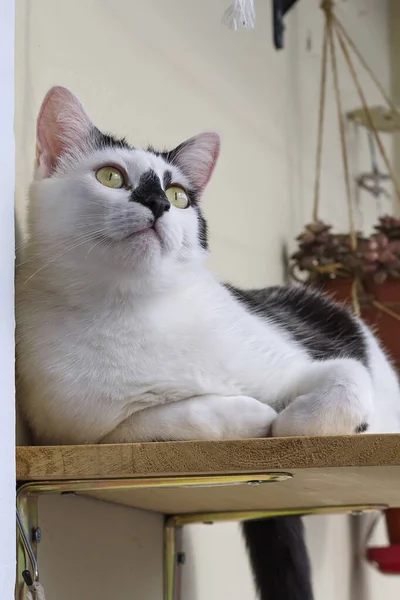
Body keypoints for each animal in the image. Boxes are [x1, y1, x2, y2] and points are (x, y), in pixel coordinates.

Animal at [17, 86, 400, 600]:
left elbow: (342, 383)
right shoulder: (80, 434)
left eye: (179, 195)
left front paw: (289, 422)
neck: (131, 309)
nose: (158, 204)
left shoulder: (309, 363)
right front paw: (252, 417)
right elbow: (162, 422)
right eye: (111, 176)